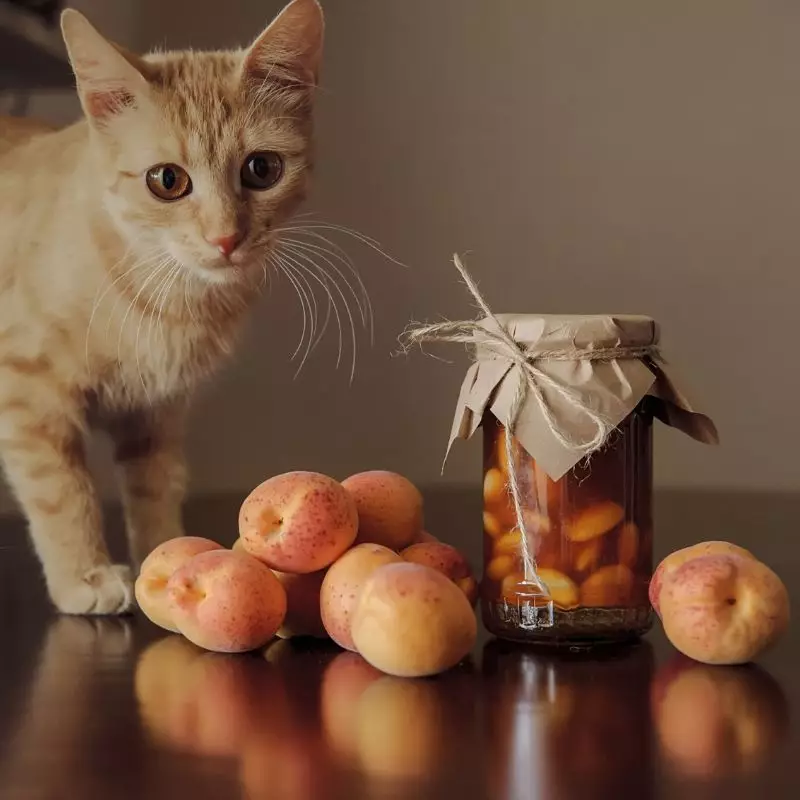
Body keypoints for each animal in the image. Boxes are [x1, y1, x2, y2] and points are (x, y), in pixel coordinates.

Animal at [0, 1, 324, 612]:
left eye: (262, 169)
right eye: (166, 180)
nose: (226, 238)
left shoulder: (157, 409)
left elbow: (155, 485)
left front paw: (169, 557)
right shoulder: (26, 387)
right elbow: (61, 489)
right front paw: (83, 575)